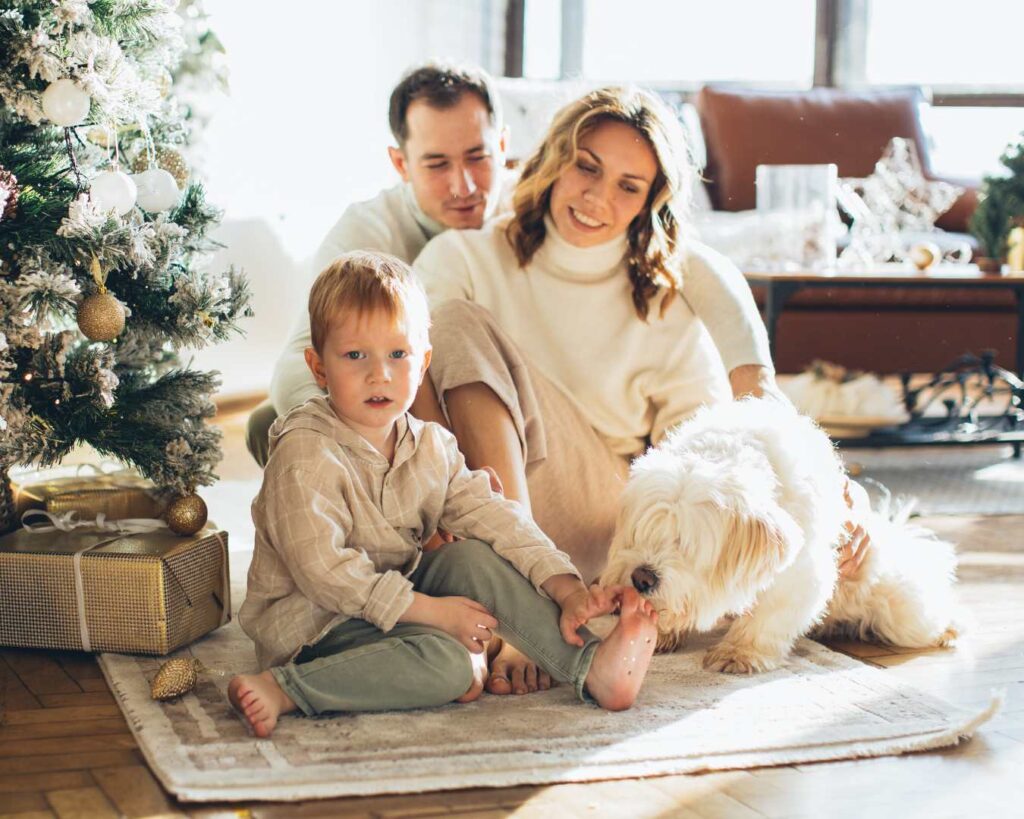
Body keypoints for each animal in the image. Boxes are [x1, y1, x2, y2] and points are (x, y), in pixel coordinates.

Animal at [598, 397, 958, 671]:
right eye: (642, 534)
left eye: (685, 544)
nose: (642, 578)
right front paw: (666, 631)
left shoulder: (800, 574)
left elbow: (768, 616)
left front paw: (739, 653)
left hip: (901, 613)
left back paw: (948, 628)